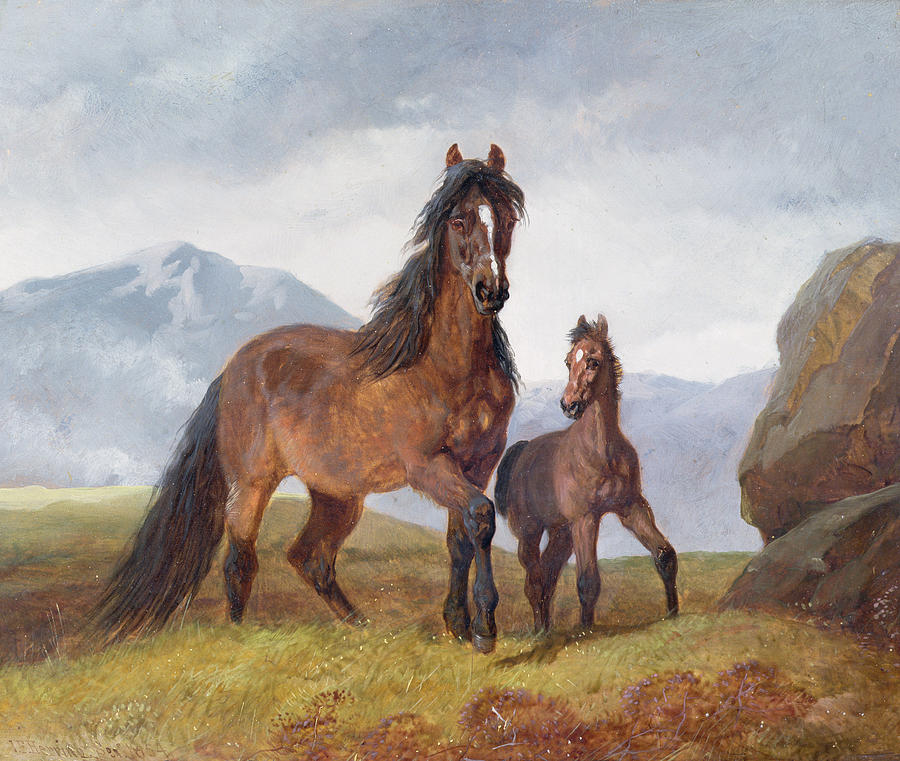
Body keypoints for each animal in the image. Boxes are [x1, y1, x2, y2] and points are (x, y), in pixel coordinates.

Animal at [94, 143, 525, 654]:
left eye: (506, 218)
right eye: (458, 219)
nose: (490, 291)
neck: (445, 368)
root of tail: (231, 369)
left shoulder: (478, 463)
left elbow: (462, 537)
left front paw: (459, 624)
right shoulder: (428, 466)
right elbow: (481, 516)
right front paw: (484, 628)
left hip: (337, 496)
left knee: (309, 557)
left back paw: (361, 628)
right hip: (253, 485)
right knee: (241, 559)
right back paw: (241, 636)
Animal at [494, 314, 678, 633]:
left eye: (593, 361)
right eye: (568, 362)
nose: (569, 405)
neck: (601, 451)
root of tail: (522, 450)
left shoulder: (632, 508)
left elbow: (664, 555)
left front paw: (673, 612)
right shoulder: (586, 519)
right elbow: (588, 580)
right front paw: (585, 631)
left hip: (562, 532)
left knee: (548, 574)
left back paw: (547, 628)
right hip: (530, 532)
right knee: (534, 580)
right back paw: (540, 631)